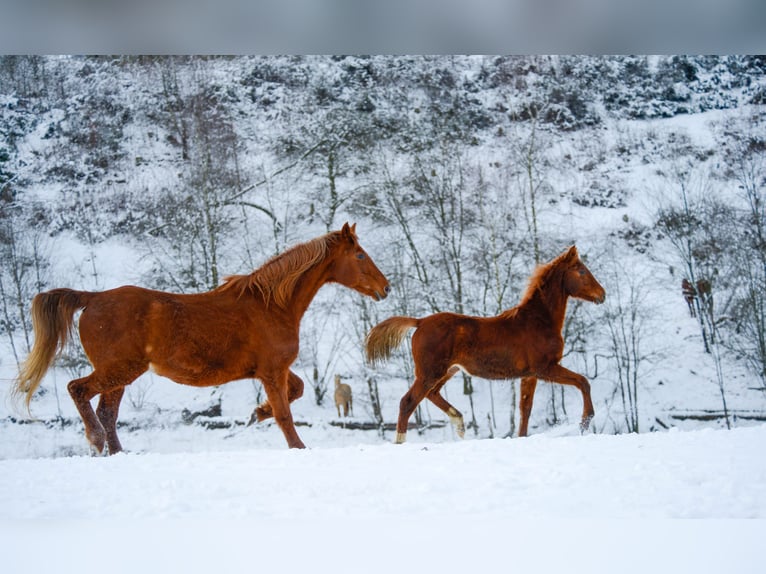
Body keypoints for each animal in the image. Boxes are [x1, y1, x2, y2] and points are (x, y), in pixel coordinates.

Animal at [15, 225, 390, 454]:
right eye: (359, 255)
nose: (386, 288)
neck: (271, 304)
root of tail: (93, 298)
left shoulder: (273, 370)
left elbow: (294, 393)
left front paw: (257, 413)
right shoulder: (272, 371)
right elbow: (285, 413)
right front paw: (297, 446)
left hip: (119, 374)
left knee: (107, 412)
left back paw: (117, 453)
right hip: (118, 370)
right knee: (78, 390)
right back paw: (95, 443)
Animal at [366, 248, 608, 446]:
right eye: (582, 271)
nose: (602, 295)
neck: (539, 321)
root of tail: (420, 321)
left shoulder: (529, 375)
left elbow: (525, 410)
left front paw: (521, 437)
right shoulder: (545, 368)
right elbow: (583, 382)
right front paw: (585, 421)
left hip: (446, 371)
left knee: (431, 394)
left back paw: (459, 422)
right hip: (430, 372)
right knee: (408, 402)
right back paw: (401, 442)